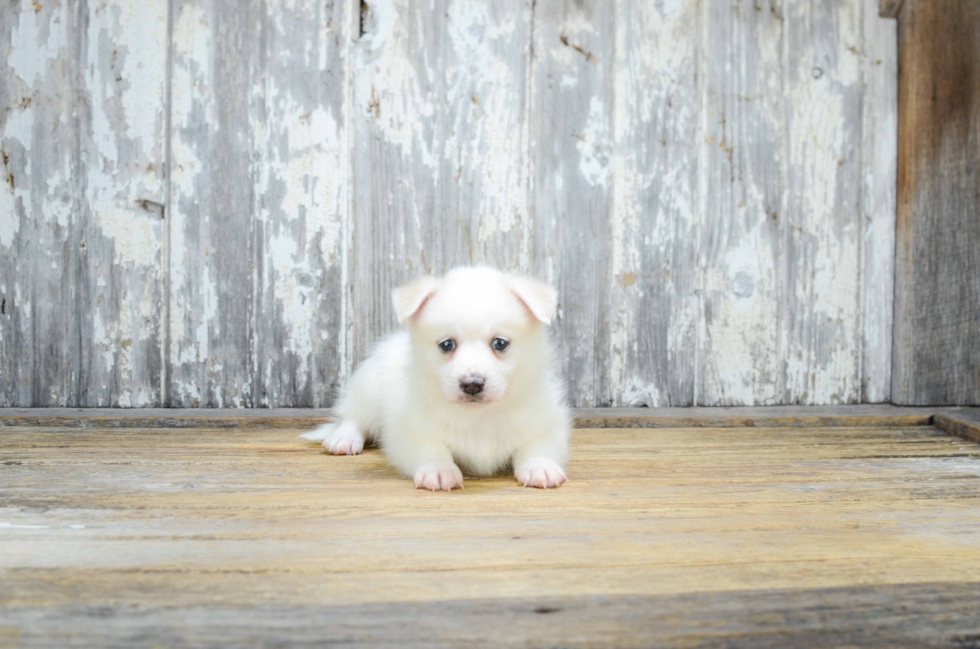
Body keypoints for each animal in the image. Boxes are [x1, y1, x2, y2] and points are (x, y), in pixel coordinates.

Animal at [302, 266, 572, 488]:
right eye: (447, 344)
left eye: (500, 343)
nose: (472, 385)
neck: (478, 417)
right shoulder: (409, 430)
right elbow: (432, 449)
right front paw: (440, 471)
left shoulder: (547, 424)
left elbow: (537, 446)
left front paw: (540, 467)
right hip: (367, 387)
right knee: (353, 417)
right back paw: (343, 439)